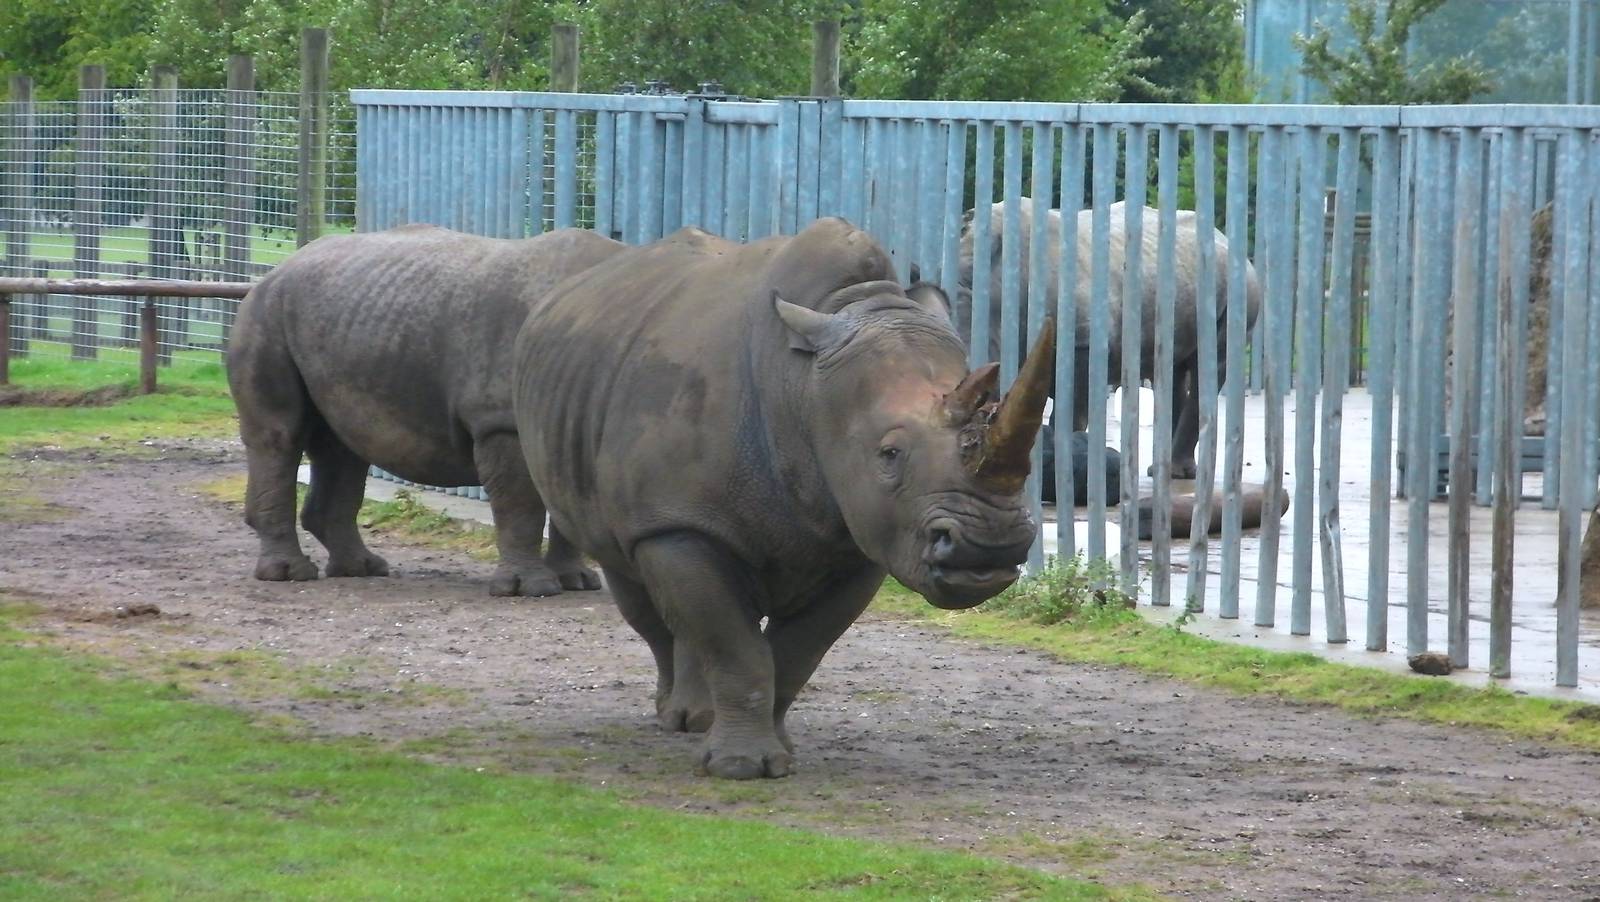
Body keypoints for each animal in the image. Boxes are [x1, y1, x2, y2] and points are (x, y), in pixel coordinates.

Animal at [227, 225, 625, 595]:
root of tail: (276, 271)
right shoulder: (498, 420)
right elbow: (521, 503)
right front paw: (532, 589)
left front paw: (576, 582)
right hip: (267, 314)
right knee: (280, 437)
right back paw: (290, 575)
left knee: (342, 447)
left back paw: (362, 568)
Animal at [512, 219, 1052, 779]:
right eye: (889, 454)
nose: (988, 548)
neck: (803, 386)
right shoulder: (676, 521)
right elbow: (733, 645)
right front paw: (739, 768)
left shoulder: (863, 538)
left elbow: (798, 652)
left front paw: (780, 752)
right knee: (633, 579)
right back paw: (683, 719)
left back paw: (701, 721)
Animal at [958, 198, 1262, 479]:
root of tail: (1226, 240)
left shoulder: (1081, 344)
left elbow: (1069, 415)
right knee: (1173, 369)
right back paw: (1162, 472)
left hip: (1240, 286)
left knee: (1209, 365)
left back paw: (1175, 474)